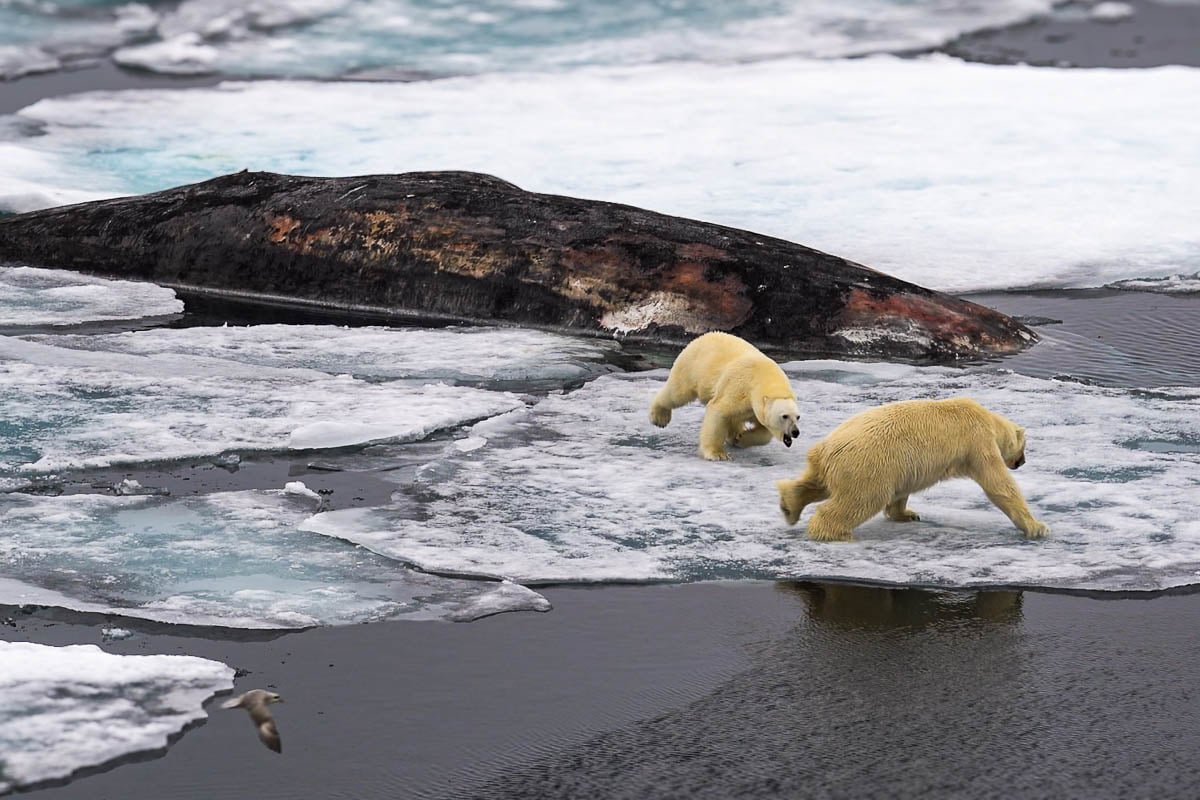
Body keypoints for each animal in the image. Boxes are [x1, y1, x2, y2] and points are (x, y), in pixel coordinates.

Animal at [649, 331, 800, 461]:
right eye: (784, 416)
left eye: (798, 417)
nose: (795, 432)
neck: (763, 378)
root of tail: (704, 336)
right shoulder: (739, 389)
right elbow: (719, 411)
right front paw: (718, 454)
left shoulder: (755, 407)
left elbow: (764, 430)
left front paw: (741, 438)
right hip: (691, 367)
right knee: (677, 393)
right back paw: (660, 418)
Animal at [775, 397, 1048, 541]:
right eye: (1025, 447)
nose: (1022, 462)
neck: (988, 419)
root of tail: (825, 449)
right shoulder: (977, 442)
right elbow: (998, 485)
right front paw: (1037, 527)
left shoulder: (901, 466)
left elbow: (901, 491)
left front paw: (908, 514)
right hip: (866, 467)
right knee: (860, 500)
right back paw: (834, 532)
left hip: (837, 465)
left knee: (813, 484)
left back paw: (789, 505)